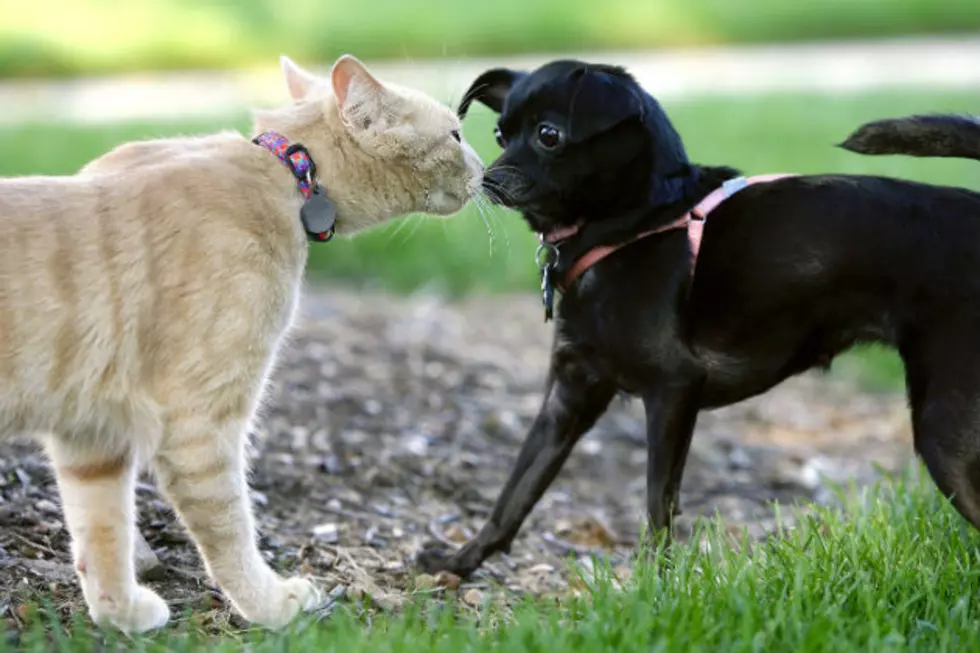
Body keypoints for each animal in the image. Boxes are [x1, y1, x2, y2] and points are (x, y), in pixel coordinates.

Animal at [0, 54, 482, 632]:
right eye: (455, 135)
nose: (485, 167)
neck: (287, 173)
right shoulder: (200, 423)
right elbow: (231, 528)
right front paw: (270, 605)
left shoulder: (93, 431)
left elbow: (102, 529)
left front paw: (120, 614)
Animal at [416, 57, 980, 576]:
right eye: (500, 133)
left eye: (548, 136)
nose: (488, 180)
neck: (631, 226)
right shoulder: (567, 398)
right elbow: (516, 491)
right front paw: (461, 561)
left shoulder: (673, 390)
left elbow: (657, 502)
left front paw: (652, 584)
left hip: (943, 431)